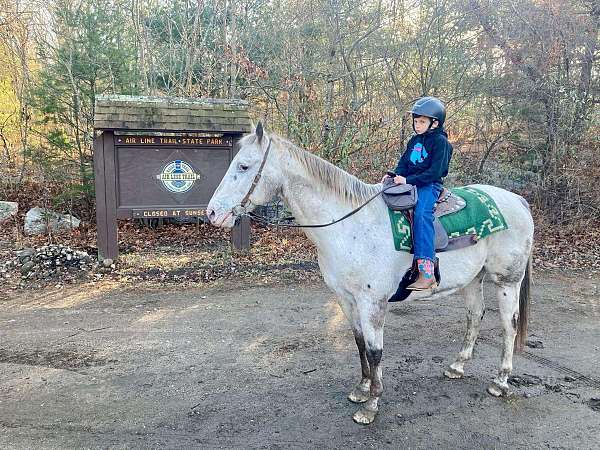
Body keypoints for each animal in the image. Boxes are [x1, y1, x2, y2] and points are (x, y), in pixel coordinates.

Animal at [207, 124, 536, 426]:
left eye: (244, 166)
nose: (212, 213)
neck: (350, 226)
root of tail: (518, 201)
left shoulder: (372, 302)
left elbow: (376, 351)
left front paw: (372, 405)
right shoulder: (346, 299)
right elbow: (359, 341)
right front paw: (362, 388)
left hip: (507, 281)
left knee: (509, 325)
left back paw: (501, 381)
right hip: (473, 280)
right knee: (475, 316)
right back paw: (457, 366)